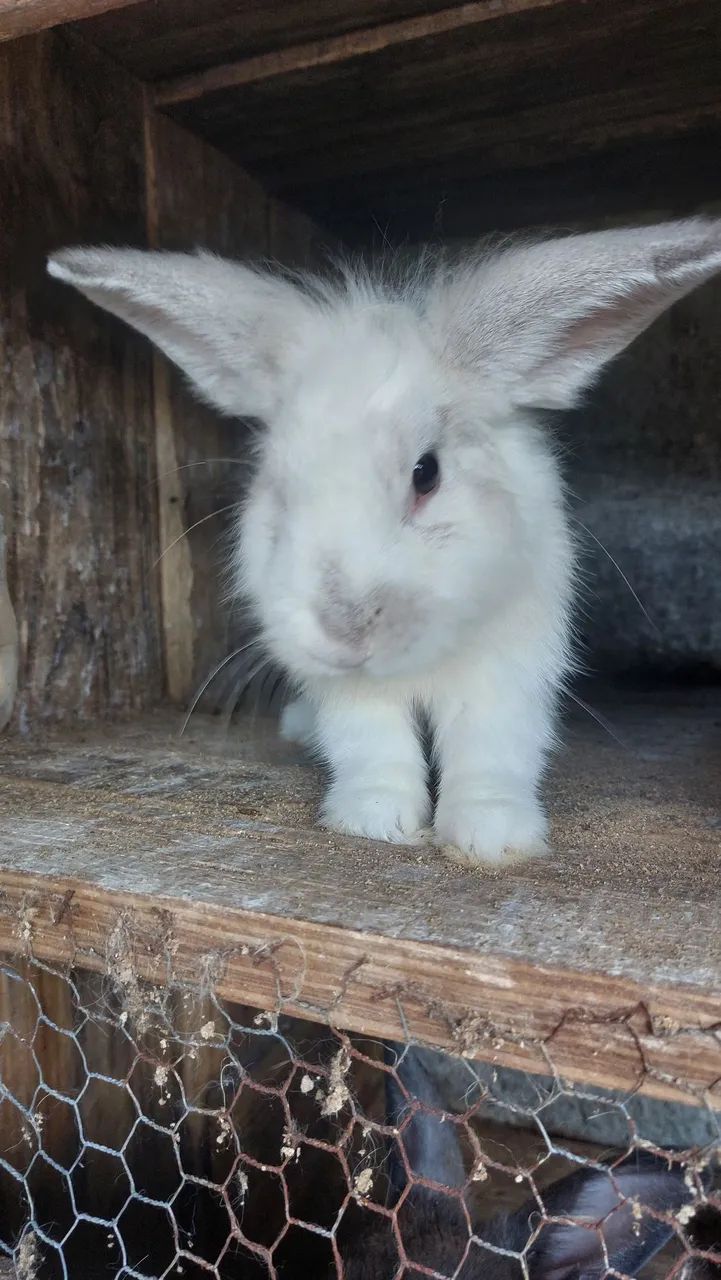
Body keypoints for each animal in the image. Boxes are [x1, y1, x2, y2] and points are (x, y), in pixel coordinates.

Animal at [48, 220, 721, 865]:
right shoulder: (347, 692)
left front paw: (492, 837)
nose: (345, 631)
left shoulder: (507, 670)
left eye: (427, 473)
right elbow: (373, 747)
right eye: (279, 487)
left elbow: (490, 749)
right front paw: (376, 822)